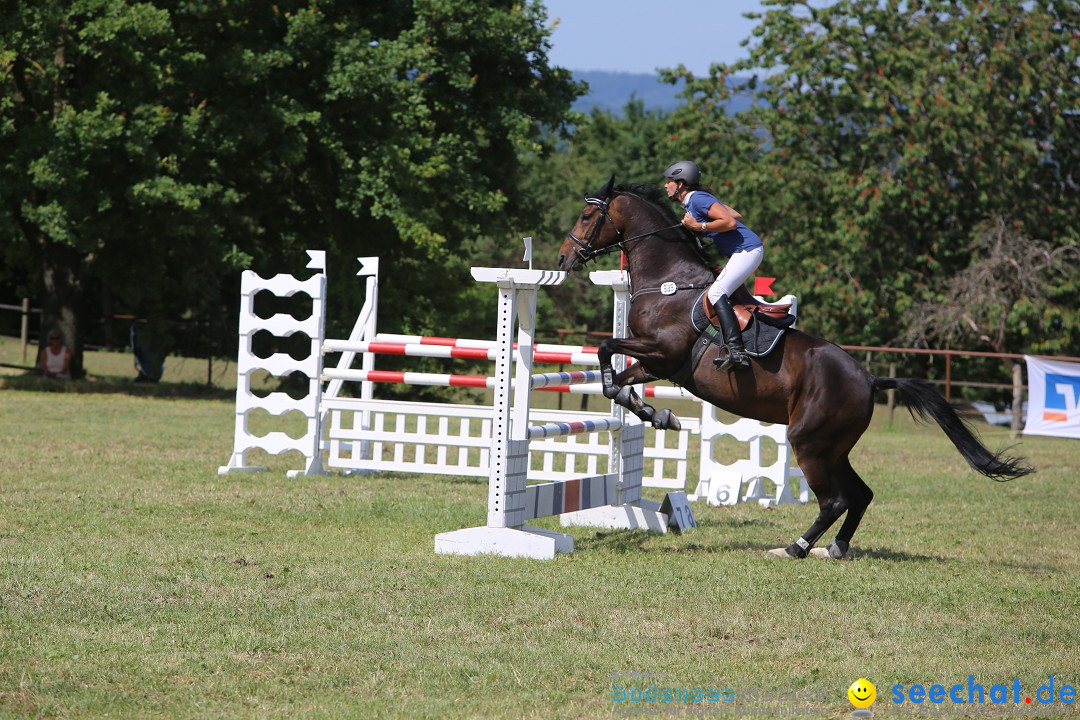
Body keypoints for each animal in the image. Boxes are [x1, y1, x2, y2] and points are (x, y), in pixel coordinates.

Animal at [561, 177, 1032, 561]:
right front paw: (658, 414)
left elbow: (605, 348)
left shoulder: (662, 353)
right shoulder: (656, 364)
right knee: (860, 494)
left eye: (587, 215)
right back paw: (836, 548)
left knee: (835, 500)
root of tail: (870, 379)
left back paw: (796, 547)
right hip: (833, 447)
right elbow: (618, 382)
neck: (668, 281)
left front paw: (652, 409)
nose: (565, 257)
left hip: (809, 441)